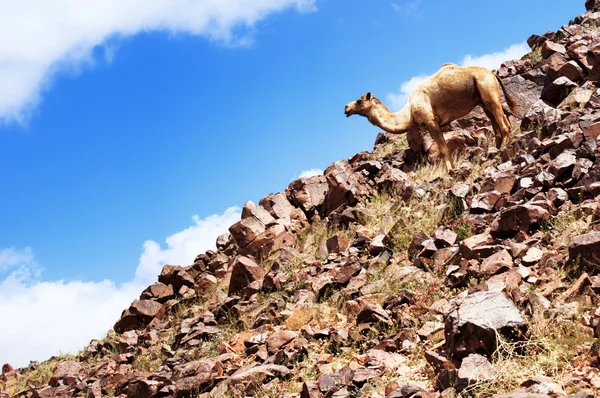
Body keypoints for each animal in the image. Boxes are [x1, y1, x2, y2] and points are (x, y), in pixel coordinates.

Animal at [344, 63, 516, 170]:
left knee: (504, 125)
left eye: (359, 100)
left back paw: (503, 150)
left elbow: (444, 149)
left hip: (488, 90)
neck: (409, 111)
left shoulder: (431, 121)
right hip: (482, 100)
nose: (346, 108)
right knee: (497, 125)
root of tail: (491, 74)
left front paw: (450, 170)